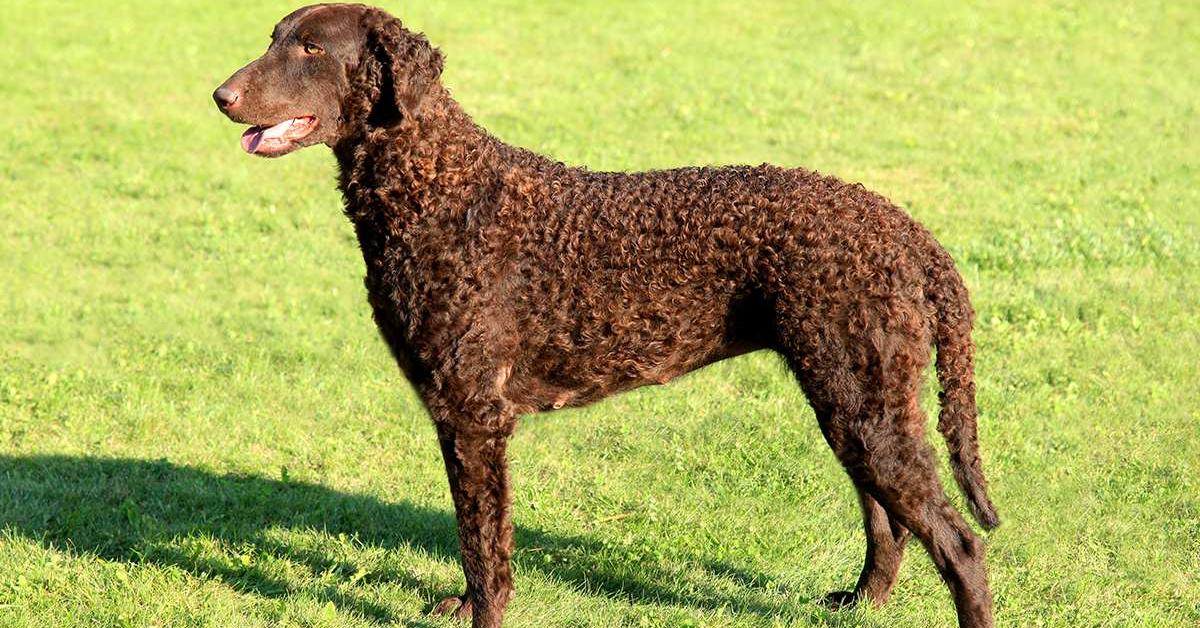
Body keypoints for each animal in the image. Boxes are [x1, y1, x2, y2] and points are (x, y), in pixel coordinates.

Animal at [216, 6, 1003, 628]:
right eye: (274, 37)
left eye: (311, 48)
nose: (220, 95)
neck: (441, 191)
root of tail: (901, 227)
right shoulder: (455, 413)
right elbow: (474, 534)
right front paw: (464, 605)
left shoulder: (476, 413)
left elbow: (485, 542)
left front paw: (484, 614)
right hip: (851, 398)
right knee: (889, 524)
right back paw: (861, 602)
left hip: (864, 403)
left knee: (960, 544)